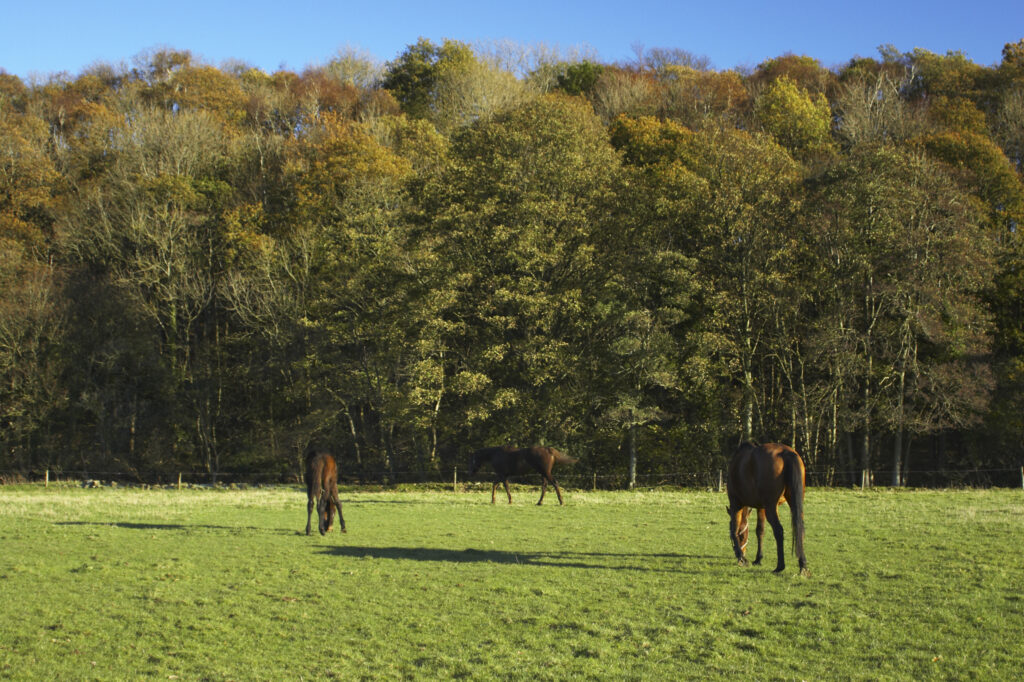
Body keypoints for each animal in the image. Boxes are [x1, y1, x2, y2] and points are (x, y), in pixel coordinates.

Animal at [726, 442, 808, 576]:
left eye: (743, 537)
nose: (743, 552)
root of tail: (785, 452)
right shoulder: (761, 508)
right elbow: (760, 531)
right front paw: (758, 559)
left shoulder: (735, 504)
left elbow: (734, 529)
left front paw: (741, 558)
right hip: (793, 504)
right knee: (799, 528)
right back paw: (803, 565)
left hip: (771, 508)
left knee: (779, 531)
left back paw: (780, 566)